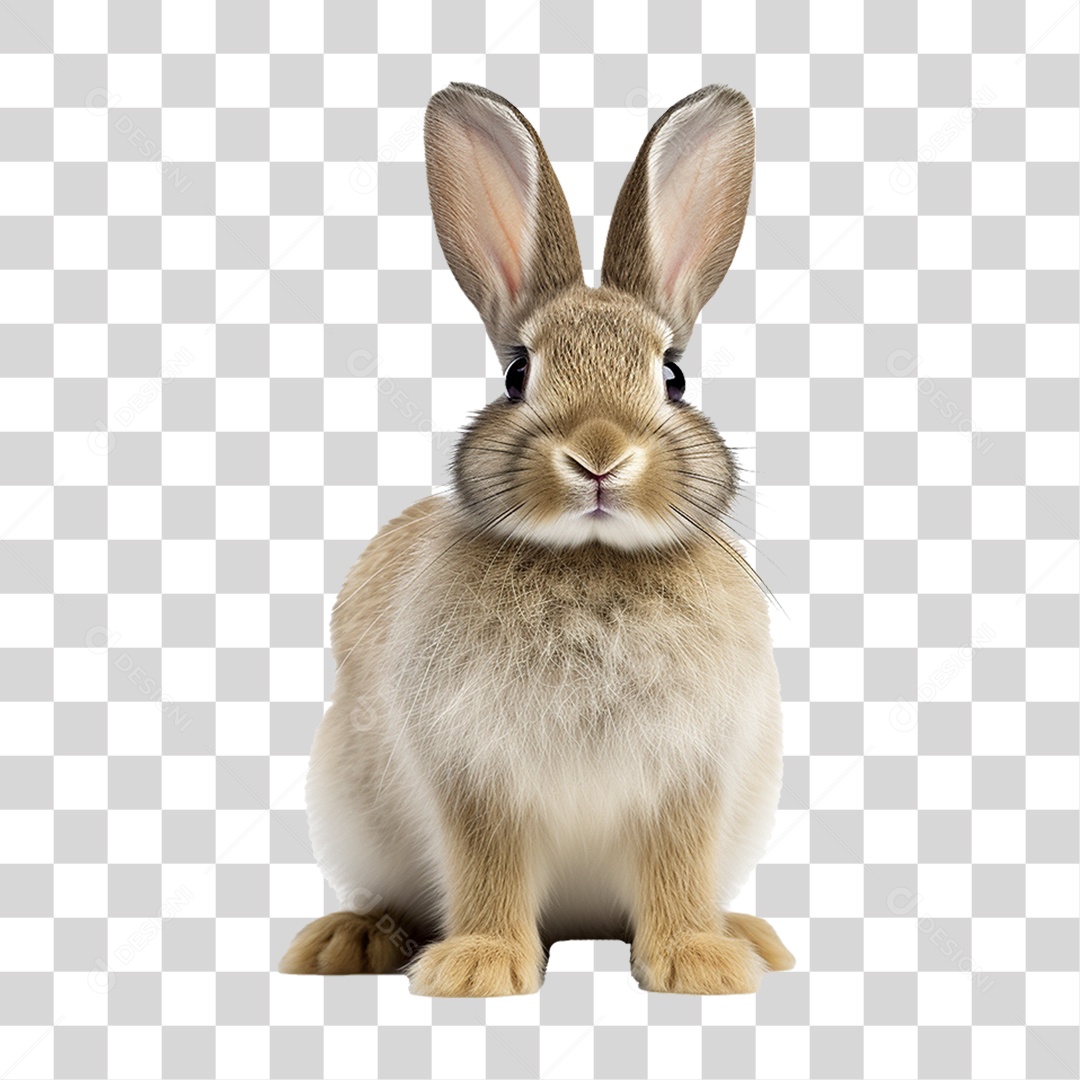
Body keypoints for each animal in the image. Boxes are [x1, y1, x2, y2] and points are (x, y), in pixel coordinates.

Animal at [278, 82, 794, 996]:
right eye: (518, 373)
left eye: (673, 375)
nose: (599, 455)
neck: (592, 562)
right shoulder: (474, 777)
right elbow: (487, 867)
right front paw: (478, 969)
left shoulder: (691, 778)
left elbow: (676, 867)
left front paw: (698, 963)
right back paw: (351, 941)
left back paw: (746, 936)